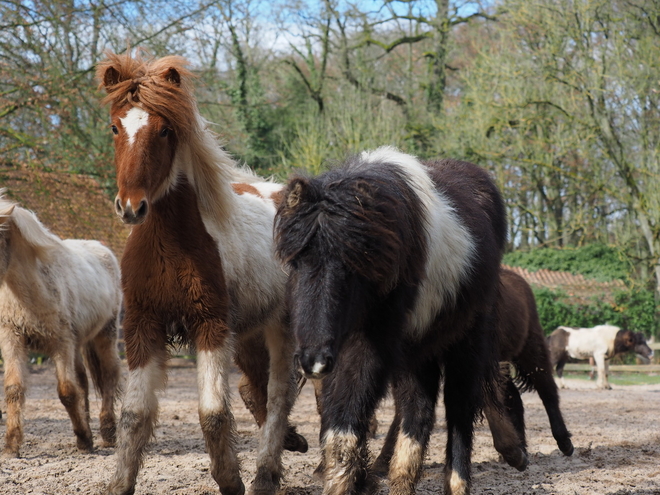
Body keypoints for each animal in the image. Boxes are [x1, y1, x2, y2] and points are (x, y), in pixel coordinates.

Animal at [0, 194, 121, 458]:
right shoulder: (12, 338)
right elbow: (14, 389)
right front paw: (11, 446)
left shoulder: (61, 343)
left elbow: (66, 392)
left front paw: (84, 440)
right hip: (78, 344)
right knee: (83, 382)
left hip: (105, 334)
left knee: (109, 376)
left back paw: (108, 433)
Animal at [96, 52, 302, 495]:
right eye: (116, 126)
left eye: (165, 130)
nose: (131, 207)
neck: (171, 244)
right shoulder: (143, 325)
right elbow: (134, 415)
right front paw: (120, 482)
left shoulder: (210, 325)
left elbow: (212, 412)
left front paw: (231, 480)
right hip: (249, 333)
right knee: (255, 388)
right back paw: (287, 449)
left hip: (281, 326)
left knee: (279, 393)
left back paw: (264, 473)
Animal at [274, 148, 524, 495]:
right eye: (297, 261)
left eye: (352, 267)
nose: (314, 361)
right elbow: (340, 430)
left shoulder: (370, 345)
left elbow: (346, 423)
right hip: (419, 348)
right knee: (418, 410)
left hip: (467, 341)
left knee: (459, 409)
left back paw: (462, 480)